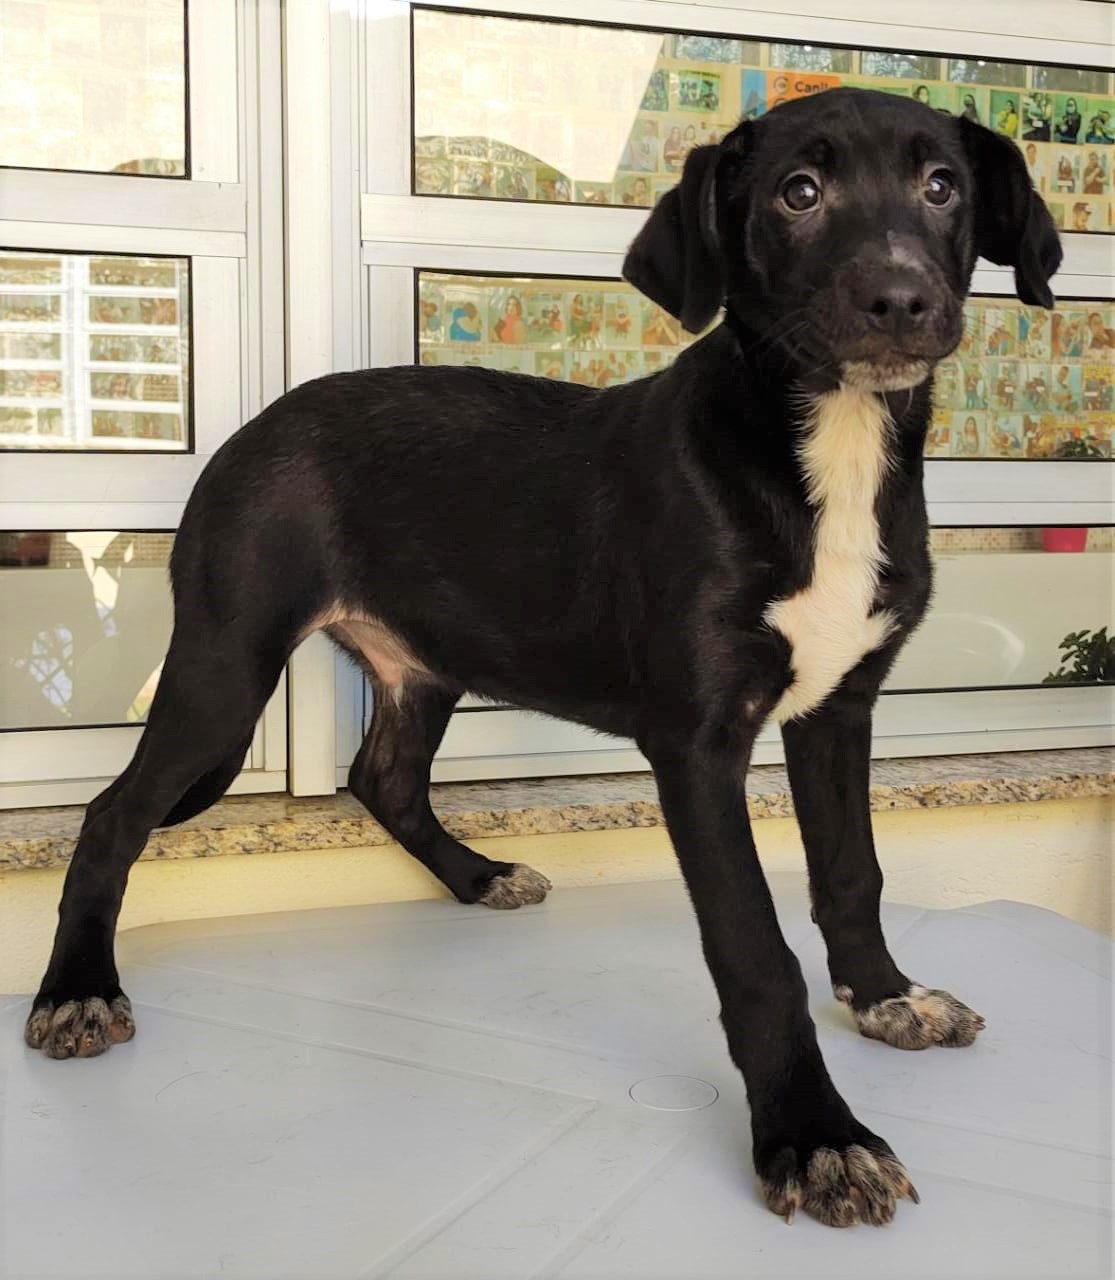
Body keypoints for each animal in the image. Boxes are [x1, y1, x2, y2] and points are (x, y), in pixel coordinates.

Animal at [21, 90, 1059, 1228]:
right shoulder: (694, 743)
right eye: (799, 192)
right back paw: (78, 987)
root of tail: (260, 422)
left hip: (427, 656)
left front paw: (882, 996)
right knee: (115, 812)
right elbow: (753, 947)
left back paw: (476, 877)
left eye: (940, 185)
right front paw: (814, 1135)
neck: (830, 442)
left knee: (382, 776)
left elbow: (851, 872)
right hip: (225, 661)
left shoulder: (840, 706)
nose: (900, 299)